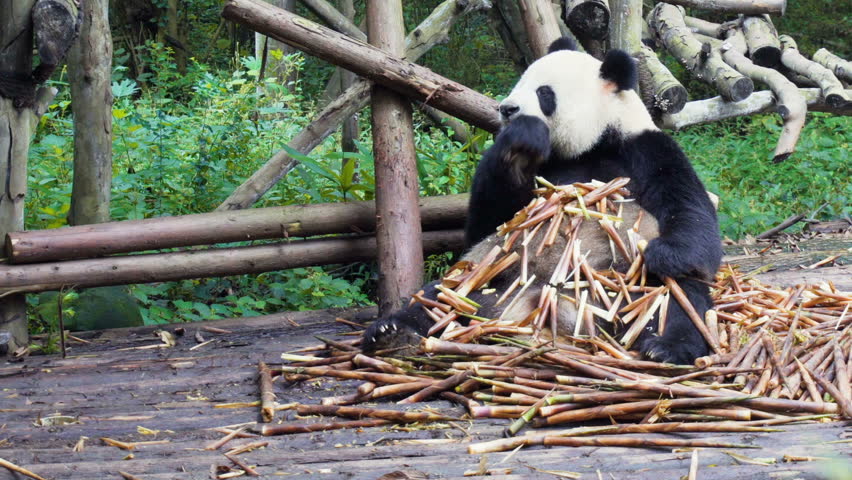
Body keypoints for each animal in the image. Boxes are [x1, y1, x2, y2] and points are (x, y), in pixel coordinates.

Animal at [362, 38, 724, 364]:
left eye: (544, 93)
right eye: (520, 82)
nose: (507, 108)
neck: (592, 144)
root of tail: (552, 308)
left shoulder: (644, 150)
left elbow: (690, 211)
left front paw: (662, 253)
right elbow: (487, 223)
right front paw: (520, 142)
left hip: (623, 291)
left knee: (677, 299)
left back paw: (666, 347)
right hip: (492, 282)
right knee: (440, 296)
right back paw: (392, 333)